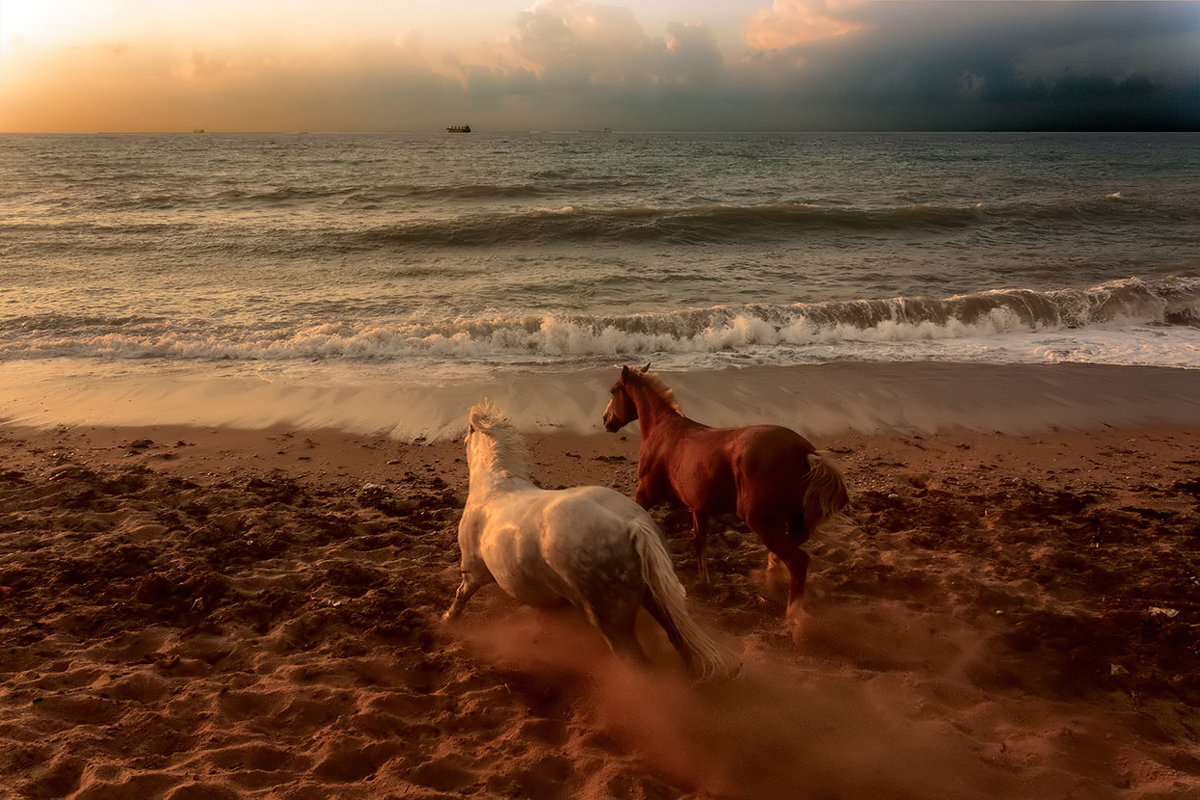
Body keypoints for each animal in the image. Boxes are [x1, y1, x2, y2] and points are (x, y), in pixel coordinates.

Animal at [444, 402, 739, 681]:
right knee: (678, 641)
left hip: (612, 623)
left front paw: (447, 620)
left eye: (465, 436)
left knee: (641, 666)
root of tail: (631, 525)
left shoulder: (472, 570)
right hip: (651, 597)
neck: (494, 488)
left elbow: (460, 596)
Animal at [604, 367, 849, 628]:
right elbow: (699, 542)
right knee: (786, 555)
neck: (662, 430)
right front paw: (703, 581)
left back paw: (793, 616)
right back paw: (771, 583)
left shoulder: (645, 494)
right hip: (790, 523)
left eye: (613, 390)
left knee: (798, 561)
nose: (606, 420)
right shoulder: (699, 508)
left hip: (762, 522)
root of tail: (805, 452)